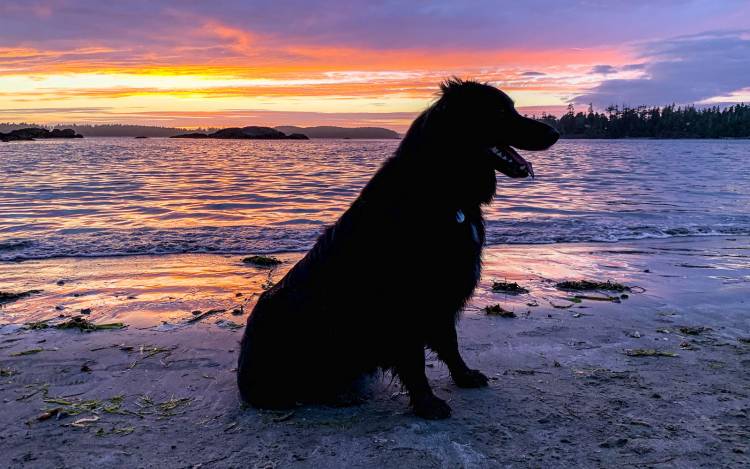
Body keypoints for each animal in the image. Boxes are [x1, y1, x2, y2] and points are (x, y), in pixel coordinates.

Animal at [238, 78, 560, 418]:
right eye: (500, 111)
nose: (555, 133)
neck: (441, 189)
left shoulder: (442, 294)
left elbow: (450, 343)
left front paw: (463, 376)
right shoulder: (406, 300)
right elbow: (415, 358)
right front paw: (427, 402)